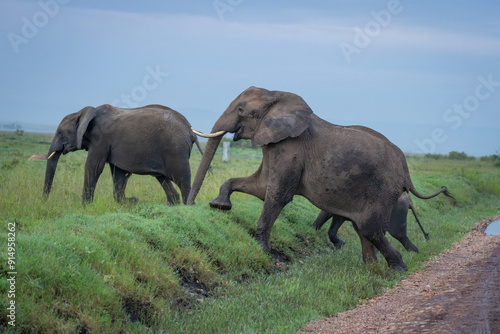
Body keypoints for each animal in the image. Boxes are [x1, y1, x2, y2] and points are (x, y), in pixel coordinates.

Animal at [41, 104, 201, 205]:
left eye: (60, 132)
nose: (44, 202)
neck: (83, 112)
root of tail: (190, 129)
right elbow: (119, 172)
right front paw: (131, 201)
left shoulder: (101, 139)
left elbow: (93, 167)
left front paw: (85, 207)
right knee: (162, 178)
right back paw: (172, 204)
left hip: (176, 150)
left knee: (182, 180)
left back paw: (187, 206)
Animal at [187, 86, 454, 272]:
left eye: (242, 111)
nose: (188, 206)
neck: (276, 95)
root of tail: (406, 171)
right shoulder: (274, 143)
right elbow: (261, 187)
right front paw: (219, 205)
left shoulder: (290, 147)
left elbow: (277, 195)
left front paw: (262, 250)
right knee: (363, 228)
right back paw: (372, 269)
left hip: (383, 187)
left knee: (370, 228)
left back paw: (398, 268)